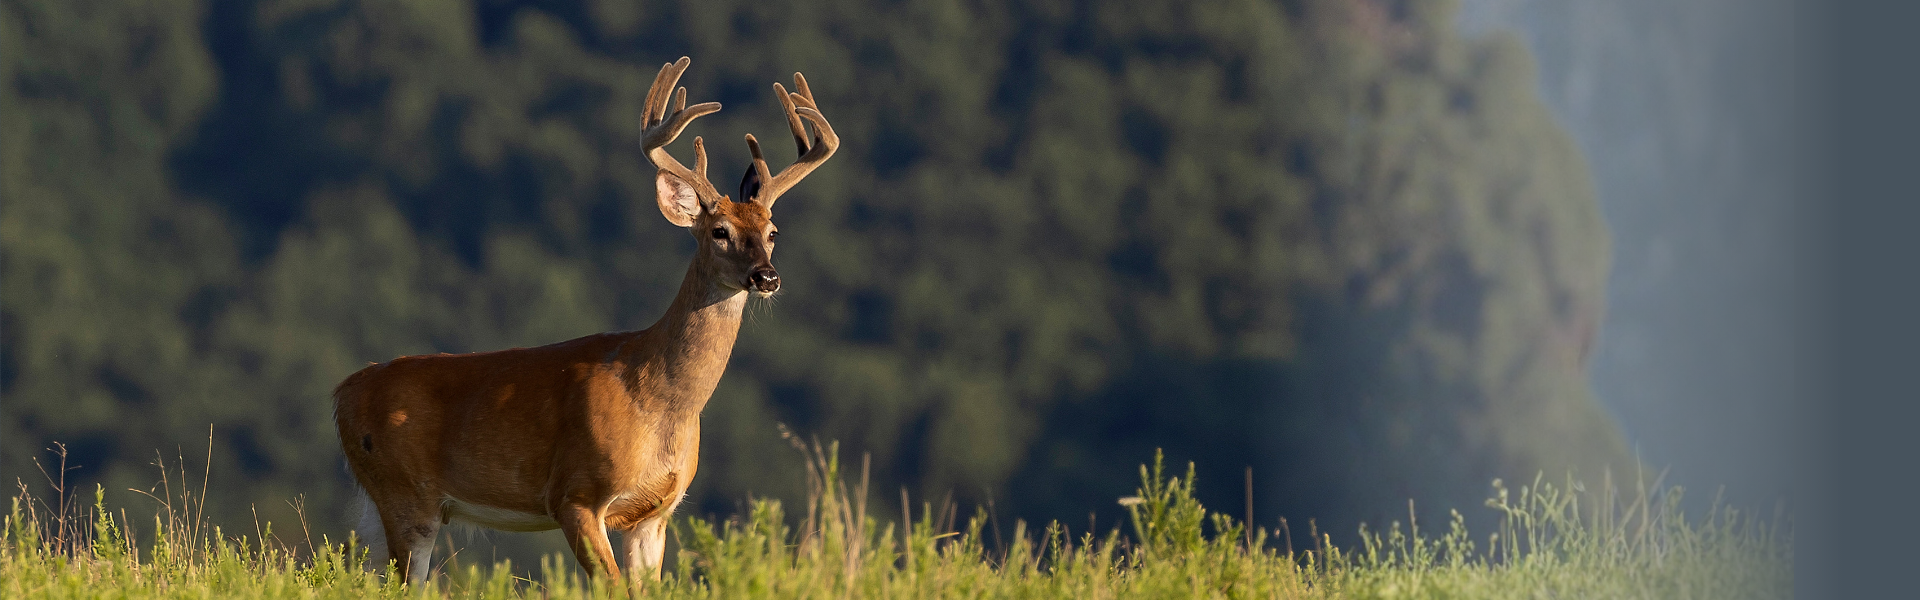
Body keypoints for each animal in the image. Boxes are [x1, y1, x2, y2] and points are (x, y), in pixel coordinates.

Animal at [332, 56, 837, 585]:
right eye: (719, 231)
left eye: (772, 232)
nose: (766, 276)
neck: (657, 399)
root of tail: (342, 393)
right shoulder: (574, 493)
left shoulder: (654, 514)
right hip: (405, 494)